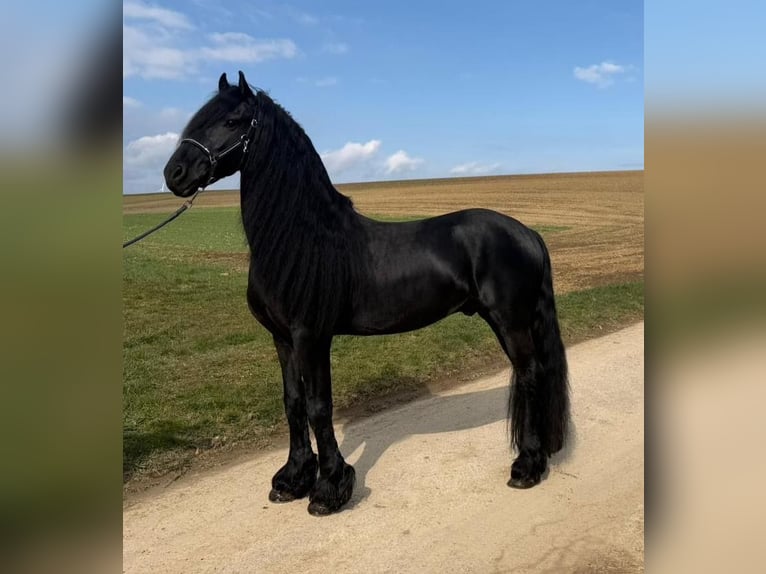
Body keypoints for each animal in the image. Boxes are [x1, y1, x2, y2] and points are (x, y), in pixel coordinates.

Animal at [163, 71, 570, 516]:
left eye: (232, 121)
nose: (174, 173)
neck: (300, 242)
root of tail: (528, 232)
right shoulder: (282, 339)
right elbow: (293, 403)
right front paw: (292, 478)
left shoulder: (311, 338)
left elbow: (319, 406)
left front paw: (329, 489)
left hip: (509, 321)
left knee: (530, 374)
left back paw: (526, 466)